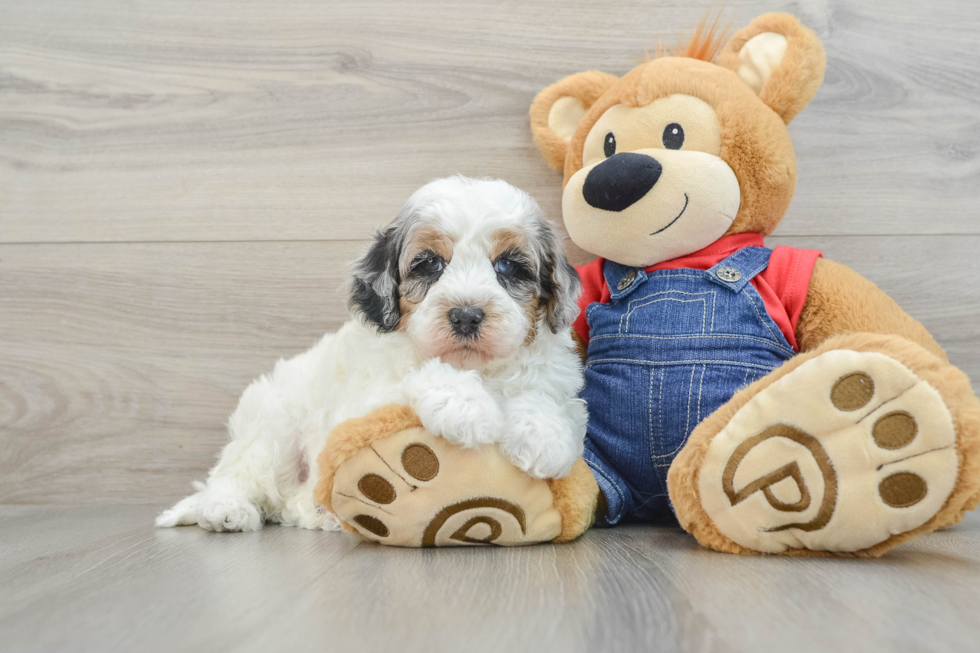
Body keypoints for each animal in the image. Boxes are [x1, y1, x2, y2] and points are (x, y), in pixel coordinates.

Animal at [157, 176, 584, 532]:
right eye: (429, 264)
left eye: (509, 266)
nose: (466, 315)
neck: (477, 369)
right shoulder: (362, 405)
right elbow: (418, 376)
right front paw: (466, 406)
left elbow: (544, 396)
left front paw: (544, 434)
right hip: (271, 427)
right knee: (235, 476)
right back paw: (226, 511)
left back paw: (322, 514)